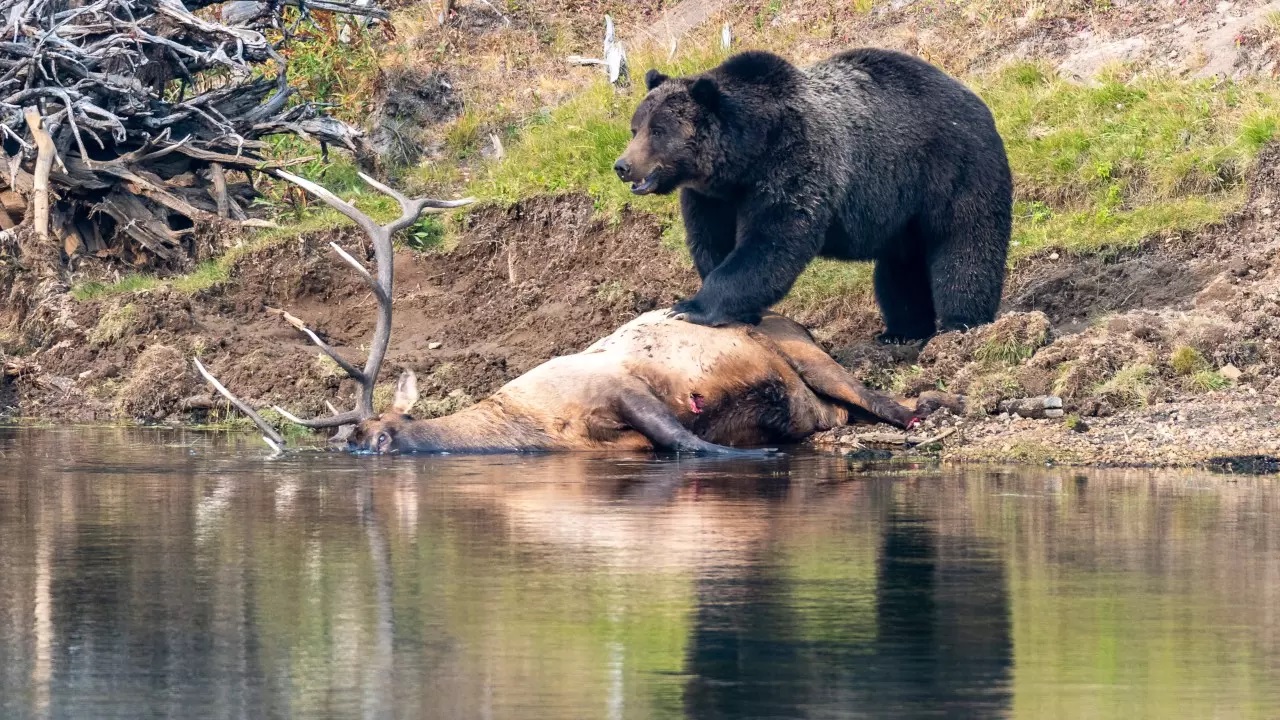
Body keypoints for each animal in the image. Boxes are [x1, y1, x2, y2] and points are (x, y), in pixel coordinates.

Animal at [614, 49, 1013, 340]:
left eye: (659, 130)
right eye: (635, 127)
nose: (622, 166)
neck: (745, 156)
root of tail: (974, 97)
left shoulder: (794, 161)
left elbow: (772, 242)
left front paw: (690, 307)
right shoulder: (713, 196)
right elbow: (712, 241)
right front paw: (738, 309)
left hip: (952, 169)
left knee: (964, 242)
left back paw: (960, 322)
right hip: (902, 211)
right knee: (901, 267)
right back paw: (902, 331)